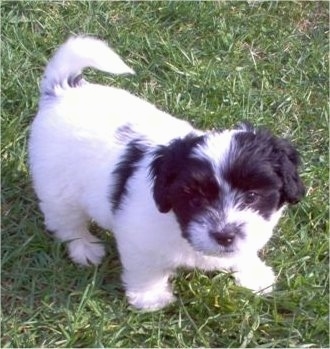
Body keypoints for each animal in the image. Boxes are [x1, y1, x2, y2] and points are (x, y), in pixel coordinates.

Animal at [28, 36, 304, 310]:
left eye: (252, 197)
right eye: (196, 200)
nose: (224, 235)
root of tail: (62, 90)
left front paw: (254, 275)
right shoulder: (139, 240)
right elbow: (147, 270)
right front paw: (151, 299)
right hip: (57, 188)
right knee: (66, 222)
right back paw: (84, 247)